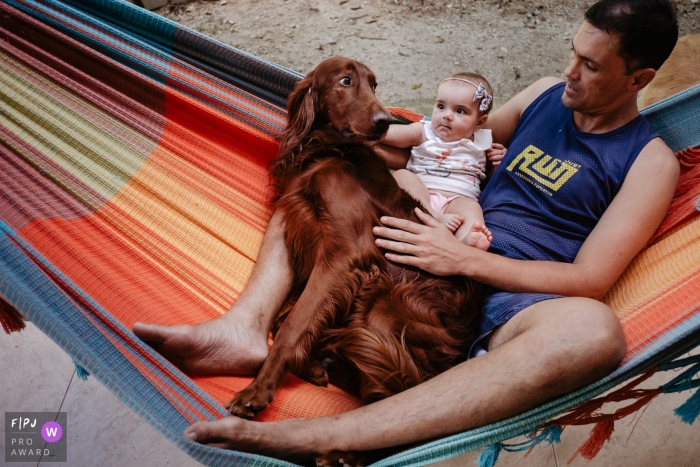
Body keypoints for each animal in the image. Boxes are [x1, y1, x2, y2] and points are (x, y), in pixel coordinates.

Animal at [224, 55, 482, 460]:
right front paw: (311, 362)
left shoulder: (345, 253)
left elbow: (293, 324)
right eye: (346, 81)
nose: (384, 121)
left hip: (382, 308)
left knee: (400, 403)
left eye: (374, 85)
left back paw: (345, 453)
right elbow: (287, 319)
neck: (332, 152)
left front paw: (258, 390)